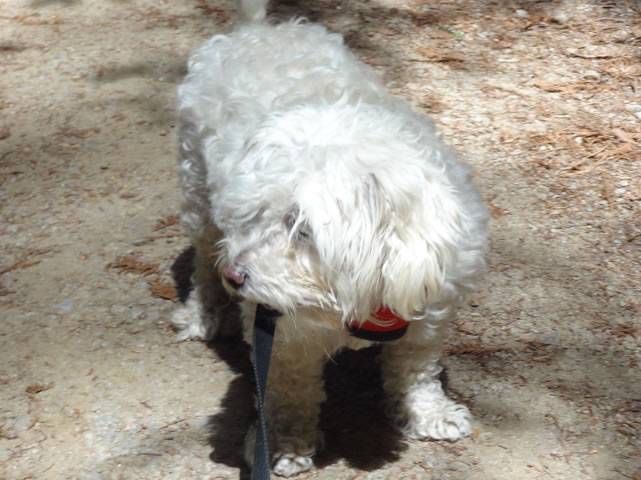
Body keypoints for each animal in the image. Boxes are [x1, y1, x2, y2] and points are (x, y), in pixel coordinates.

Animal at [171, 0, 489, 476]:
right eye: (250, 215)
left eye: (301, 227)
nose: (236, 275)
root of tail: (258, 30)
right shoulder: (283, 333)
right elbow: (288, 388)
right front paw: (281, 442)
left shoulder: (430, 310)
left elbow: (416, 368)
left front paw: (427, 412)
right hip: (198, 194)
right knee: (203, 259)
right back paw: (206, 311)